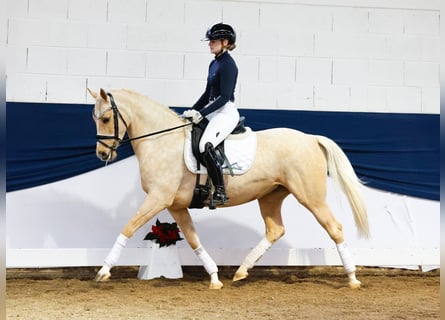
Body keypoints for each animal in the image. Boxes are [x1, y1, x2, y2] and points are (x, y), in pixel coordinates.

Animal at [86, 87, 368, 290]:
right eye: (95, 119)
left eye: (106, 118)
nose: (102, 154)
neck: (162, 140)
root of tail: (311, 138)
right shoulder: (176, 205)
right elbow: (193, 239)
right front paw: (214, 278)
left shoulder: (158, 198)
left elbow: (128, 227)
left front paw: (103, 271)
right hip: (270, 196)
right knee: (275, 230)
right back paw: (242, 271)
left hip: (311, 196)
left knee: (334, 227)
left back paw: (353, 278)